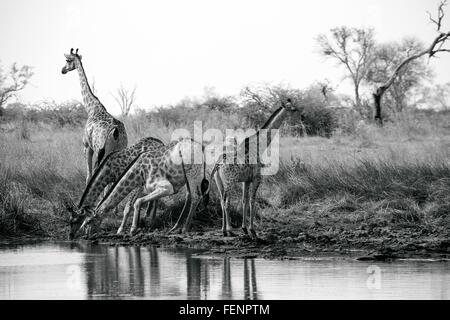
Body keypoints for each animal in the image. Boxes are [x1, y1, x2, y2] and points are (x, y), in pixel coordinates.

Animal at [61, 47, 128, 182]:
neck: (92, 108)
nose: (62, 70)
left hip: (102, 152)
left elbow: (89, 176)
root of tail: (117, 133)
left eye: (67, 60)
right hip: (120, 151)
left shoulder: (87, 147)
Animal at [72, 137, 209, 238]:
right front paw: (141, 224)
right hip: (189, 175)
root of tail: (200, 146)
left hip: (192, 172)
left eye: (87, 222)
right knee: (190, 195)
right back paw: (175, 227)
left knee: (196, 196)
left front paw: (129, 229)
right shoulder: (146, 188)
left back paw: (185, 228)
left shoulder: (165, 187)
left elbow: (134, 203)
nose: (84, 235)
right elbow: (137, 202)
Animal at [212, 98, 298, 238]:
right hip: (230, 181)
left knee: (221, 201)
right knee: (226, 202)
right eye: (293, 109)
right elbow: (252, 201)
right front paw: (252, 230)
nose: (300, 117)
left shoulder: (246, 180)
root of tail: (218, 165)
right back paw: (230, 230)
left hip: (218, 181)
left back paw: (223, 230)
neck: (260, 145)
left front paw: (244, 228)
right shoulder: (257, 178)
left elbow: (244, 200)